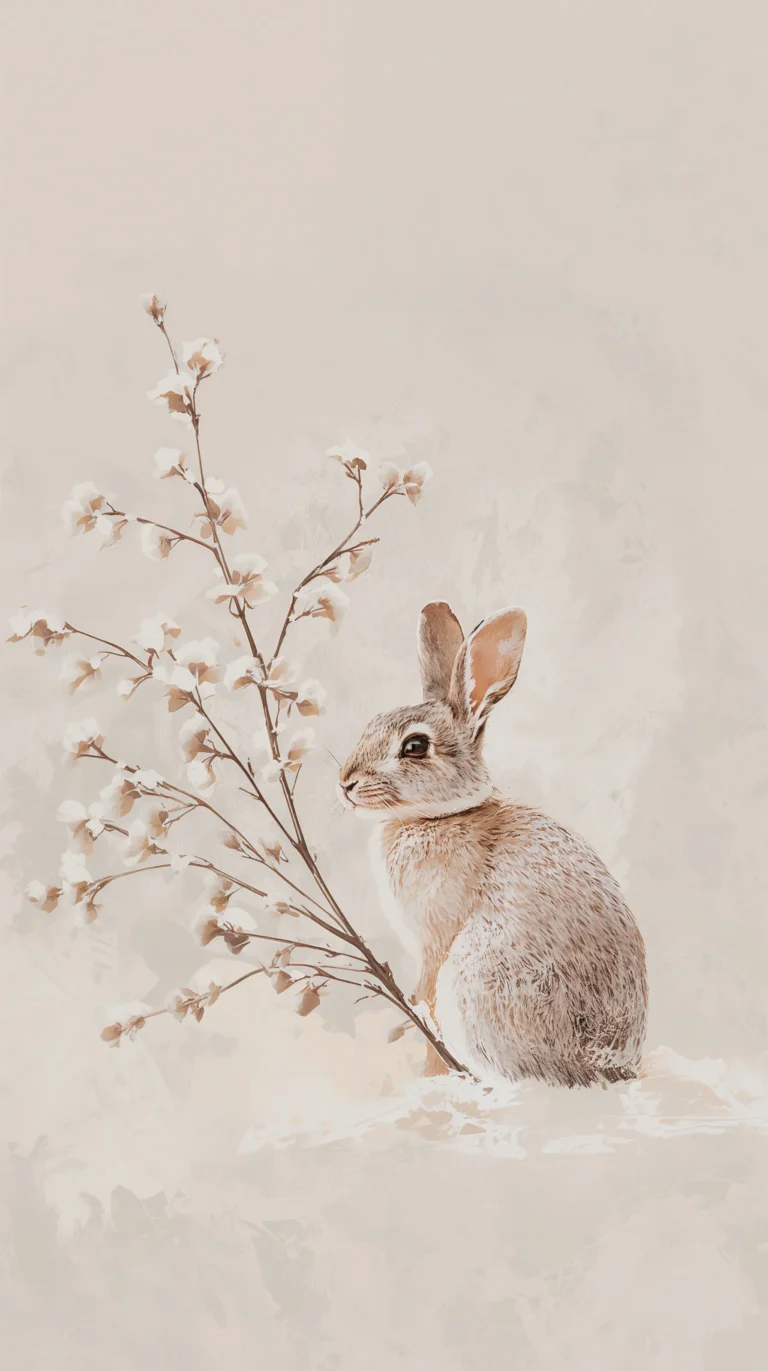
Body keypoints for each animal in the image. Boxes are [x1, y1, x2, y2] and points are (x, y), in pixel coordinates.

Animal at [338, 601, 648, 1089]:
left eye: (415, 746)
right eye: (371, 724)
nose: (346, 783)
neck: (440, 815)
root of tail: (604, 1068)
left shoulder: (435, 939)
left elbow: (424, 998)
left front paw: (420, 1065)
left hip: (477, 980)